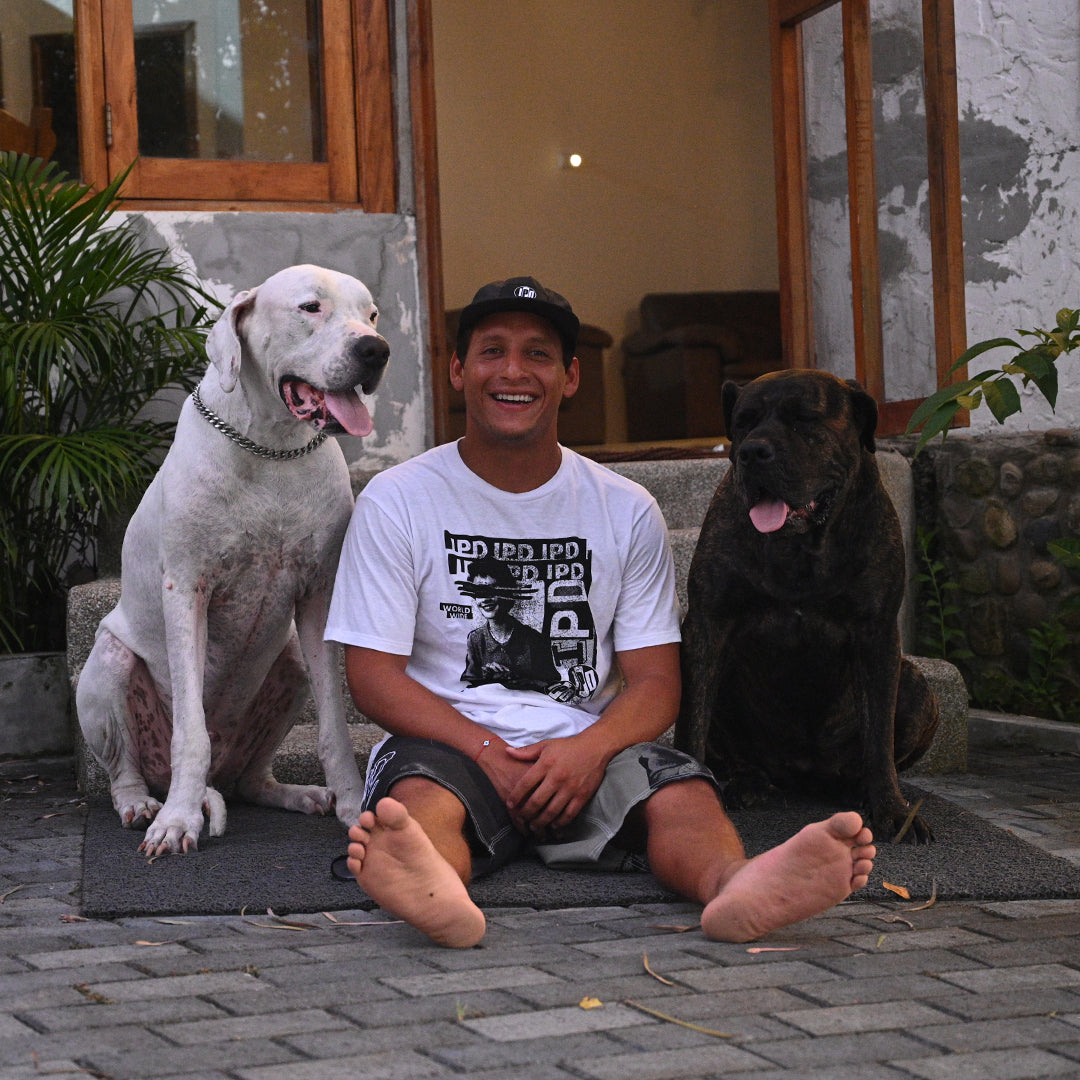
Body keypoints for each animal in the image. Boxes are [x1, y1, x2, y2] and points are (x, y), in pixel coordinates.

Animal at [76, 265, 388, 855]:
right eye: (310, 307)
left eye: (372, 313)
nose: (375, 349)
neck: (273, 447)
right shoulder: (188, 591)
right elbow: (189, 733)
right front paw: (177, 821)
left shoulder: (319, 595)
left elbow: (334, 725)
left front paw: (354, 806)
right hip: (107, 669)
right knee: (125, 768)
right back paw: (143, 804)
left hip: (288, 663)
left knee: (251, 779)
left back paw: (298, 794)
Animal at [678, 369, 941, 842]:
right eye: (744, 422)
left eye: (804, 419)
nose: (753, 451)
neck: (801, 547)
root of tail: (801, 773)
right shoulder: (708, 625)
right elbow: (693, 721)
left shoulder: (876, 633)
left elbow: (879, 737)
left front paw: (891, 809)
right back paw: (748, 782)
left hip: (916, 687)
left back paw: (858, 789)